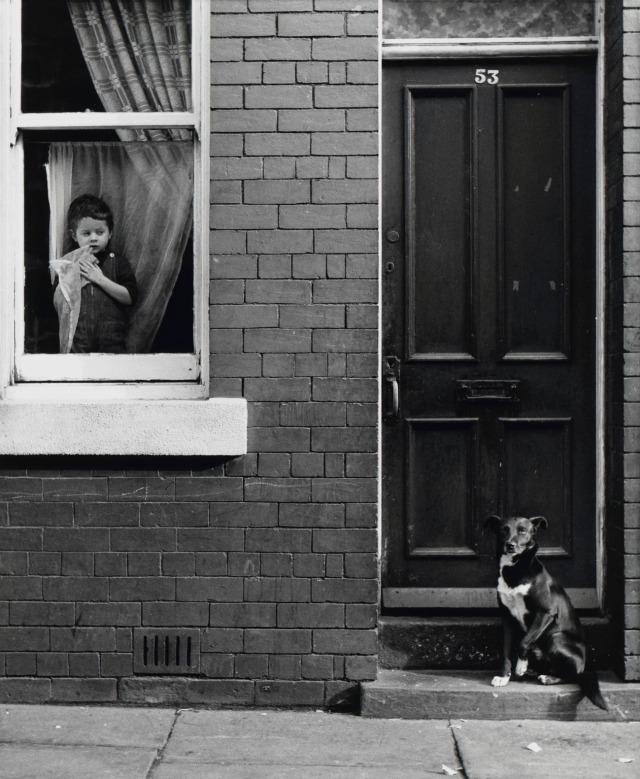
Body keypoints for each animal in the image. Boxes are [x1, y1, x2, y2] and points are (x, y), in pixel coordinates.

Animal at [488, 516, 608, 708]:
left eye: (522, 530)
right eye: (503, 530)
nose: (510, 545)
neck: (515, 570)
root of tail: (587, 663)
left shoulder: (546, 612)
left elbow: (523, 642)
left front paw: (520, 666)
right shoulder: (507, 618)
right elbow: (506, 650)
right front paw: (504, 676)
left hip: (556, 638)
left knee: (573, 675)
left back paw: (547, 677)